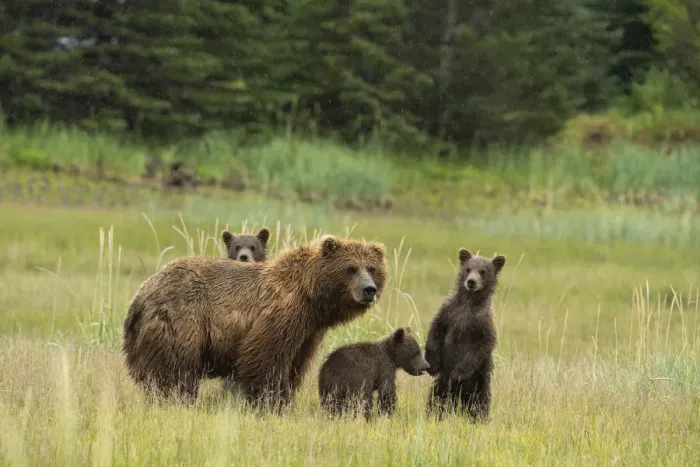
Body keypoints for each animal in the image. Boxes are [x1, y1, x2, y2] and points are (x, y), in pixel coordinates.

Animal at [122, 235, 388, 410]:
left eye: (372, 268)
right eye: (350, 268)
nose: (369, 290)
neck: (311, 297)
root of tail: (141, 294)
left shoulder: (308, 333)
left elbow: (295, 364)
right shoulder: (280, 315)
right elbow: (265, 358)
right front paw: (270, 402)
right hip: (181, 319)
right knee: (176, 370)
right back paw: (176, 400)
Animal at [423, 248, 506, 422]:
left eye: (483, 271)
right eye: (468, 269)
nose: (471, 282)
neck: (469, 303)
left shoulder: (482, 322)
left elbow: (483, 345)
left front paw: (459, 372)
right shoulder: (450, 311)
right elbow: (435, 331)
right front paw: (432, 364)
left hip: (480, 381)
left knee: (480, 402)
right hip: (443, 384)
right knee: (436, 398)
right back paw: (434, 415)